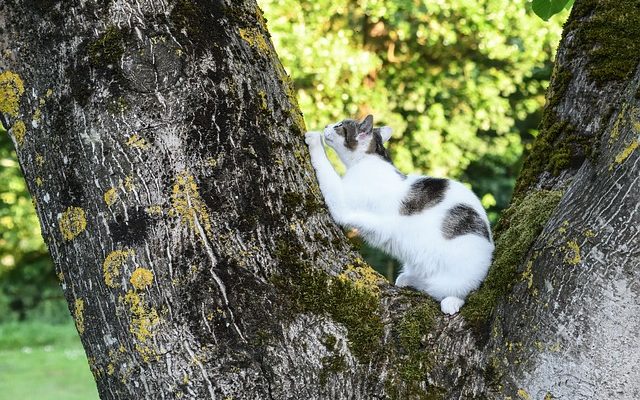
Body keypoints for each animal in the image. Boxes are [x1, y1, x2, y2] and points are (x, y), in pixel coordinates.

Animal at [304, 115, 496, 316]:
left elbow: (325, 167)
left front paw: (314, 139)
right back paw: (408, 279)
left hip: (455, 276)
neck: (367, 162)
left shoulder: (342, 204)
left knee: (460, 290)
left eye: (339, 125)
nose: (327, 125)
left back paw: (451, 301)